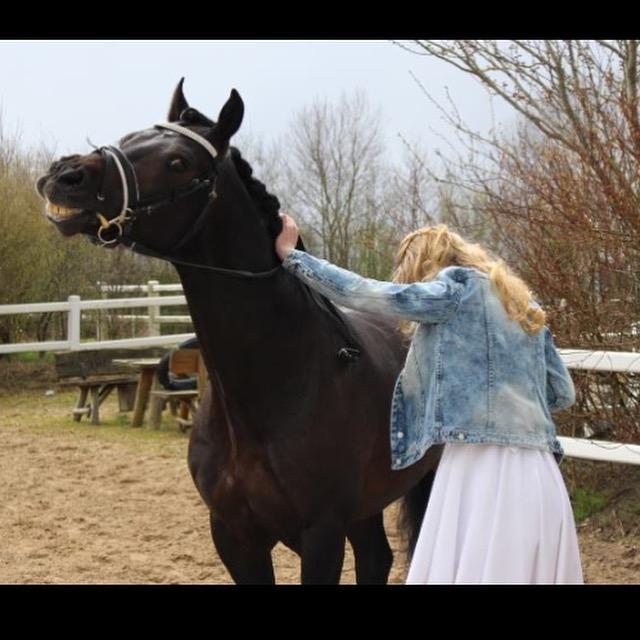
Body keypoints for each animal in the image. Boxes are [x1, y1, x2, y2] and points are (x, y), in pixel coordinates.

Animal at [36, 79, 444, 580]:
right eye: (131, 138)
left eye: (179, 162)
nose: (66, 175)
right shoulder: (234, 536)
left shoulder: (322, 534)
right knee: (375, 556)